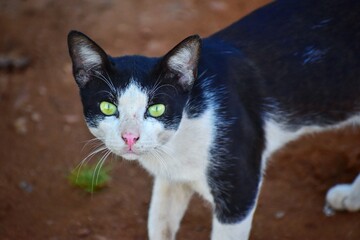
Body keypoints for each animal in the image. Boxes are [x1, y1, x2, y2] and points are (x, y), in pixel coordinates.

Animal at [67, 0, 360, 239]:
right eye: (107, 107)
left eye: (157, 108)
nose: (130, 137)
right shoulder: (171, 179)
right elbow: (160, 225)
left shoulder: (239, 190)